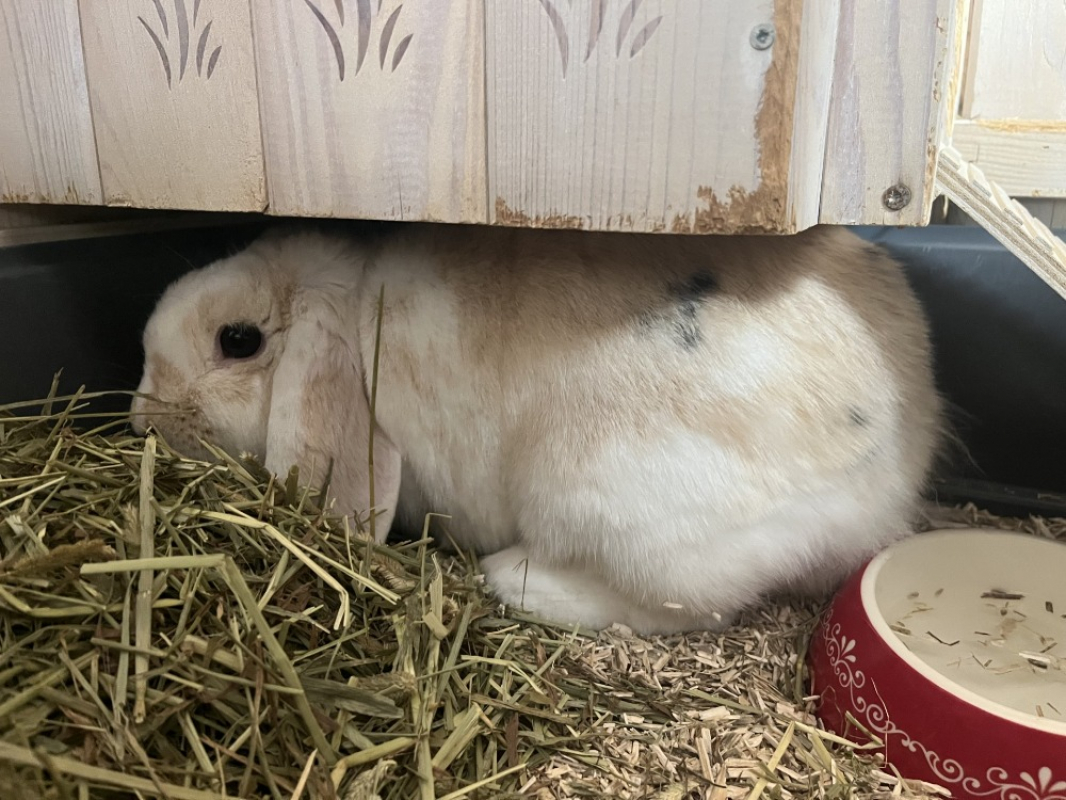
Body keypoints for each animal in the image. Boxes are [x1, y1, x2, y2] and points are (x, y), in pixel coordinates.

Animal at [130, 222, 943, 636]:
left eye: (238, 341)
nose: (144, 416)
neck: (358, 313)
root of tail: (891, 474)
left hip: (613, 504)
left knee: (686, 606)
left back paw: (514, 578)